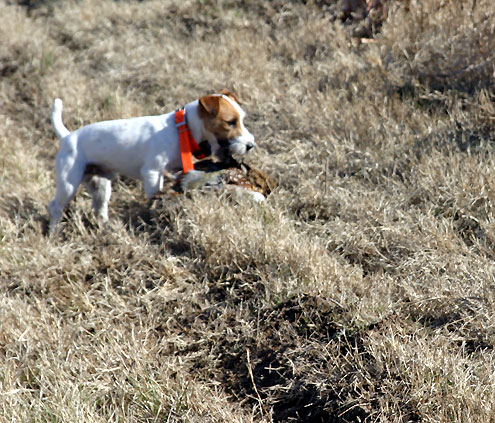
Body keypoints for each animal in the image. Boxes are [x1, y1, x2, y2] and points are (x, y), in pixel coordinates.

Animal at [48, 90, 256, 234]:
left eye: (242, 119)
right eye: (230, 122)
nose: (251, 145)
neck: (182, 129)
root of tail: (67, 137)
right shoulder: (152, 173)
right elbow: (155, 195)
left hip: (100, 186)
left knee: (99, 209)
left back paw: (107, 228)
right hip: (68, 184)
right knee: (55, 206)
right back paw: (53, 233)